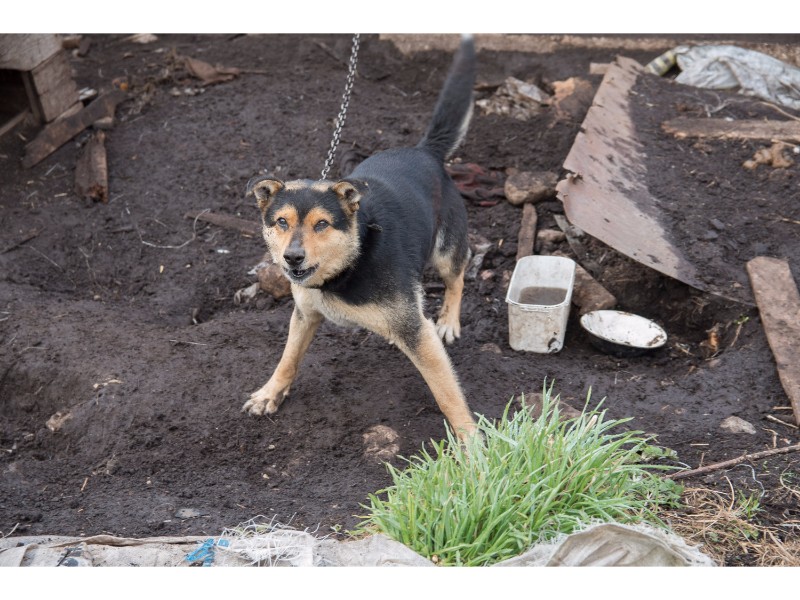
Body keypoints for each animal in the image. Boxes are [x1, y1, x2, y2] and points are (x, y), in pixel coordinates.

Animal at [243, 35, 477, 441]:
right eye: (281, 222)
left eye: (322, 225)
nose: (292, 258)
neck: (351, 262)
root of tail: (425, 151)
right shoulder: (304, 314)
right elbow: (288, 357)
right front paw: (270, 393)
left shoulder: (416, 332)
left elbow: (447, 392)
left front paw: (472, 441)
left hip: (446, 249)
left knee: (457, 276)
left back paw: (449, 319)